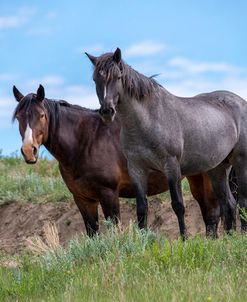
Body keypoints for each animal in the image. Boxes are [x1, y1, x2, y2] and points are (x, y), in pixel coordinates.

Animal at [12, 84, 222, 236]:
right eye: (19, 117)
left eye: (41, 115)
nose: (28, 151)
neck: (85, 142)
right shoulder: (83, 199)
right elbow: (92, 232)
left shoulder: (109, 194)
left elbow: (114, 229)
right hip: (196, 177)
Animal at [85, 47, 247, 238]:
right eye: (96, 79)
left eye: (117, 77)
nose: (107, 111)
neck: (149, 119)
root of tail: (240, 102)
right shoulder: (136, 169)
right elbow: (142, 208)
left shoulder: (171, 166)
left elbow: (178, 205)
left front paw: (184, 238)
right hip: (218, 167)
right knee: (228, 203)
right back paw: (229, 237)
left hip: (240, 161)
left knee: (242, 201)